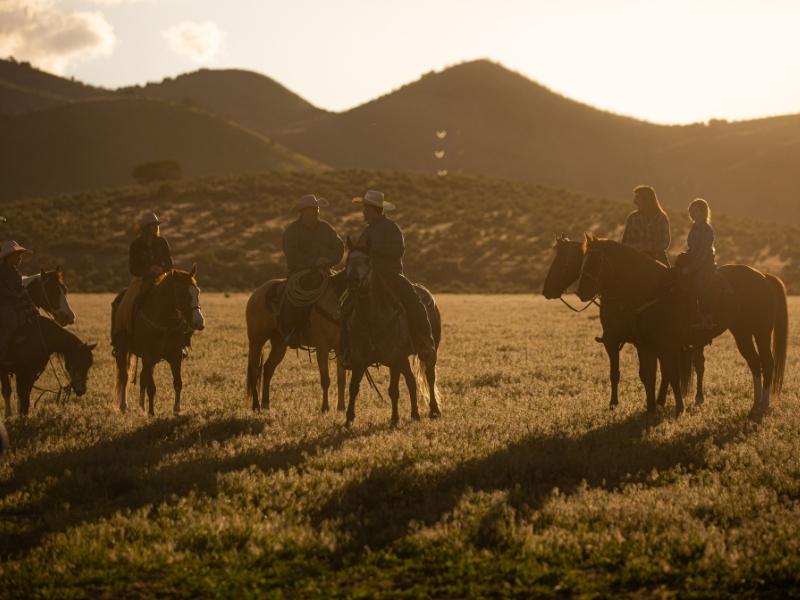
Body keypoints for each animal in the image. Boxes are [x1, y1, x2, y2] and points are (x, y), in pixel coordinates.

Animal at [2, 268, 76, 418]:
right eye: (52, 290)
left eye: (65, 289)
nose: (69, 317)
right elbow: (8, 391)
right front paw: (8, 415)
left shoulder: (29, 372)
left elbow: (23, 396)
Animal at [244, 272, 344, 412]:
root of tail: (256, 293)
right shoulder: (322, 347)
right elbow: (325, 379)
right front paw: (325, 408)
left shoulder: (340, 349)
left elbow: (341, 380)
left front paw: (341, 408)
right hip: (257, 340)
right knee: (254, 370)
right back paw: (256, 406)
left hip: (279, 344)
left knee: (268, 368)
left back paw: (266, 404)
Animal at [344, 241, 444, 428]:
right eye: (347, 260)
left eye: (367, 261)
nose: (353, 280)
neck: (371, 318)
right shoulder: (359, 359)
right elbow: (353, 388)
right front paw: (348, 419)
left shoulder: (394, 359)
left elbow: (393, 390)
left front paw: (394, 419)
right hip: (404, 359)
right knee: (411, 380)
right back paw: (415, 414)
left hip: (428, 353)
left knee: (429, 376)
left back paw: (434, 410)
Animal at [540, 237, 684, 410]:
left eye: (564, 261)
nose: (547, 290)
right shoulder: (615, 340)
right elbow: (617, 373)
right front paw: (614, 403)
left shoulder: (632, 341)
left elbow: (644, 372)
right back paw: (661, 400)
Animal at [576, 234, 788, 418]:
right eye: (584, 260)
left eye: (596, 261)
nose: (581, 292)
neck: (654, 290)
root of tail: (764, 277)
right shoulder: (645, 345)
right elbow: (648, 375)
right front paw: (651, 408)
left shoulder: (668, 345)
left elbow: (670, 374)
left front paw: (678, 408)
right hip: (742, 333)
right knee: (755, 364)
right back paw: (754, 406)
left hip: (761, 332)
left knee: (767, 363)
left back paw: (763, 405)